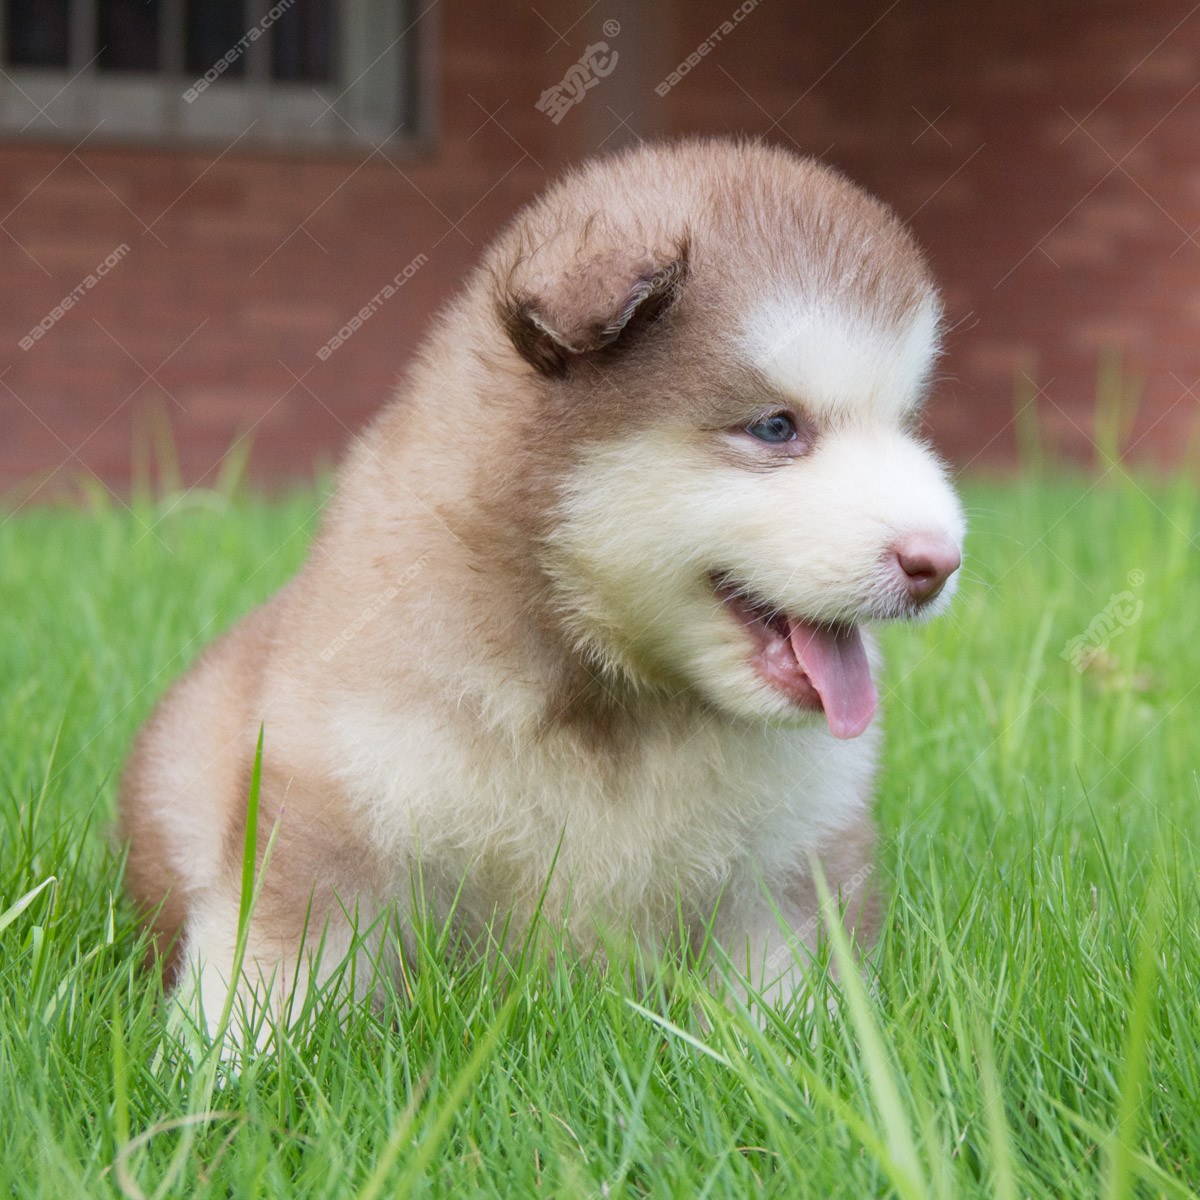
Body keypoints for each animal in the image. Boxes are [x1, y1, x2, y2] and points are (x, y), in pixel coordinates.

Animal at [119, 138, 964, 1041]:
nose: (938, 560)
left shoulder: (791, 861)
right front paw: (228, 1066)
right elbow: (272, 973)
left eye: (905, 425)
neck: (613, 695)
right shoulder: (335, 810)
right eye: (776, 427)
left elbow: (787, 1008)